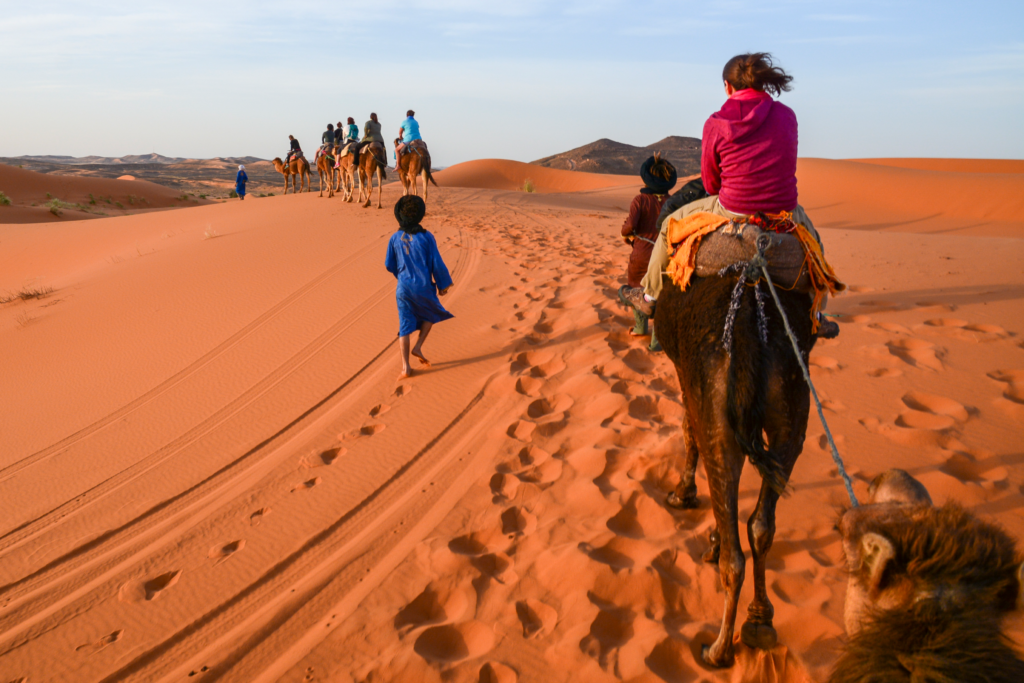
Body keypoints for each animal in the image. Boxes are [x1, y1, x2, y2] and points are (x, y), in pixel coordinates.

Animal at [655, 272, 817, 667]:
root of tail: (746, 333)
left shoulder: (685, 375)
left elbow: (688, 431)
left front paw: (682, 495)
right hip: (792, 410)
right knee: (761, 525)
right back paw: (760, 620)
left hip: (717, 406)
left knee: (735, 555)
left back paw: (718, 649)